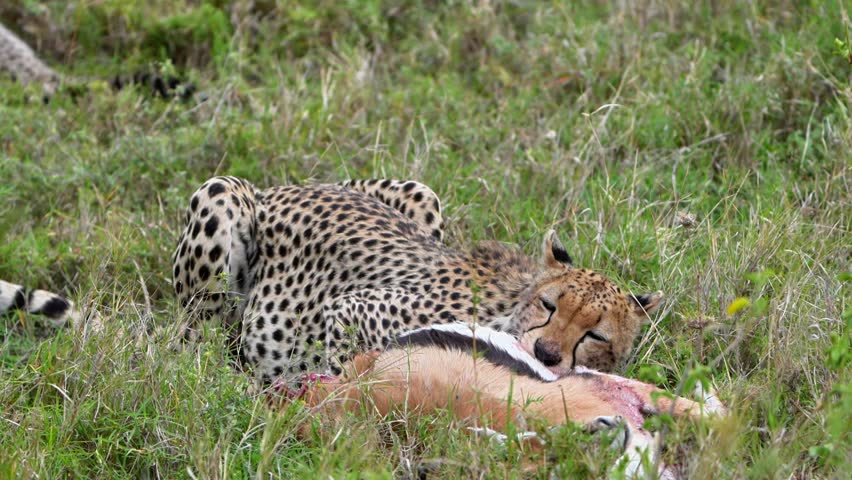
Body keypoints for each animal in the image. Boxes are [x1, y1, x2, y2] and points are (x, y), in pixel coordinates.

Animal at [174, 176, 664, 384]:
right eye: (550, 305)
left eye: (596, 335)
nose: (546, 352)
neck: (511, 306)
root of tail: (281, 188)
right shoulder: (352, 309)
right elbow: (351, 372)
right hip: (221, 195)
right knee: (193, 341)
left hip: (422, 194)